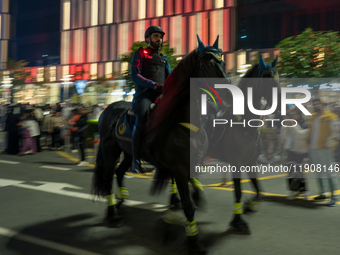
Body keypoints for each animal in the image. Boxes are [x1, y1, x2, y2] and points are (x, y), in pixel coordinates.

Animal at [92, 35, 228, 253]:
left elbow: (193, 192)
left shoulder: (189, 164)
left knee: (120, 172)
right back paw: (113, 215)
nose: (230, 94)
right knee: (107, 181)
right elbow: (187, 205)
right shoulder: (179, 168)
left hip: (128, 152)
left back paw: (122, 200)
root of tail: (107, 109)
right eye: (208, 63)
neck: (183, 122)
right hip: (110, 151)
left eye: (222, 61)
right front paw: (194, 242)